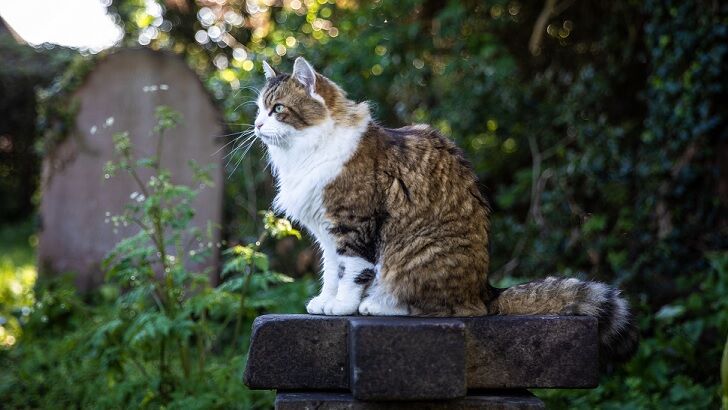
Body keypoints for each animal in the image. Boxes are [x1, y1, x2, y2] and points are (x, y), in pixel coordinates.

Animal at [255, 56, 636, 362]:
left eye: (278, 109)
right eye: (259, 109)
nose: (257, 125)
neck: (306, 153)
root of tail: (486, 290)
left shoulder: (352, 224)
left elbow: (351, 273)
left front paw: (343, 306)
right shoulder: (327, 232)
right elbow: (332, 272)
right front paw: (325, 300)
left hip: (414, 254)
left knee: (433, 304)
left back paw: (377, 304)